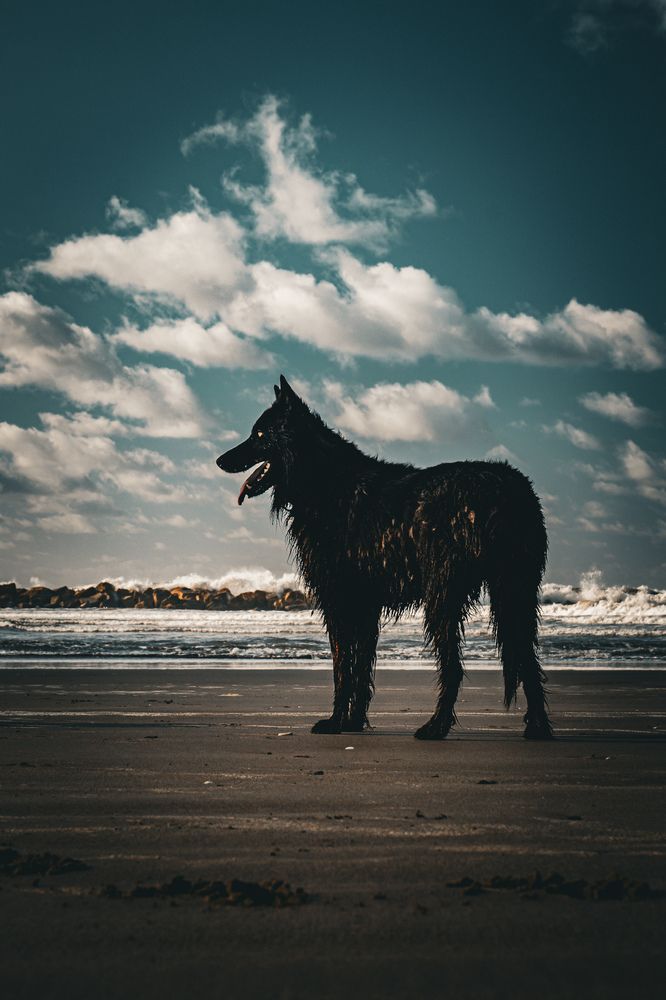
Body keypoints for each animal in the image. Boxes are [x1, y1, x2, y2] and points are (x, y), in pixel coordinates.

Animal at [217, 376, 552, 741]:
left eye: (260, 435)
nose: (220, 460)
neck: (324, 481)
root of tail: (508, 486)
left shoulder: (338, 599)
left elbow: (342, 668)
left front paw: (335, 721)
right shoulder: (365, 604)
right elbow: (361, 668)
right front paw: (352, 722)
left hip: (444, 596)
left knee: (453, 667)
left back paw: (437, 725)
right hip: (514, 591)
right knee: (528, 658)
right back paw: (538, 726)